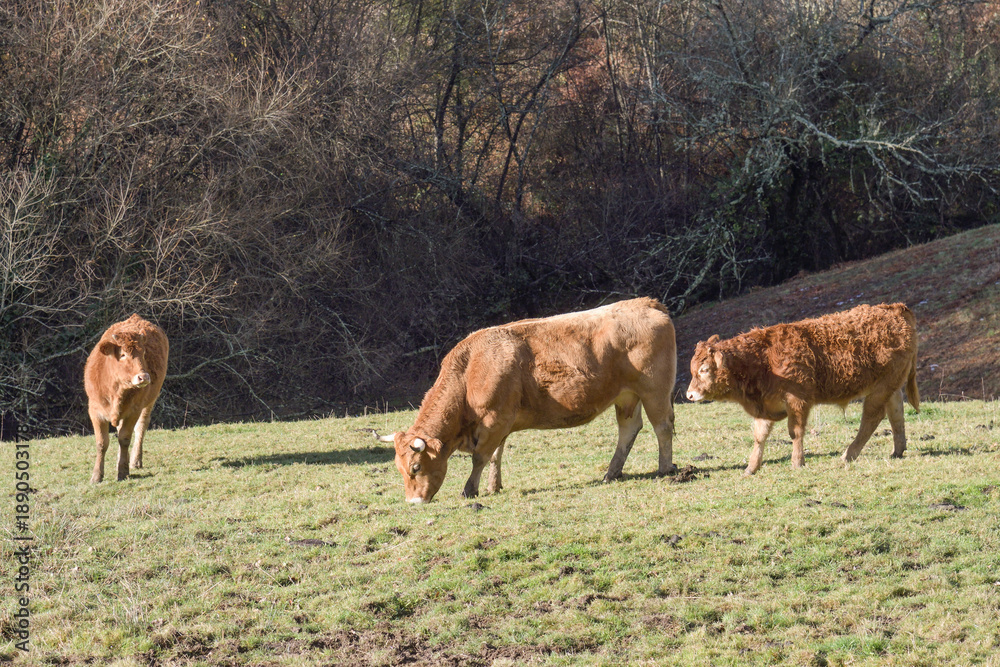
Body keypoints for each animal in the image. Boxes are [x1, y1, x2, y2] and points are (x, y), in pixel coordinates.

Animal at [84, 314, 169, 482]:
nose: (144, 377)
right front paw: (97, 475)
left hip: (150, 401)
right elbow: (102, 443)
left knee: (141, 426)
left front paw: (123, 471)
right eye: (123, 354)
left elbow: (125, 438)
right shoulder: (95, 411)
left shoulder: (134, 411)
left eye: (143, 354)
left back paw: (135, 460)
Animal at [379, 298, 677, 503]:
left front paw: (470, 490)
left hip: (654, 391)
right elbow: (495, 456)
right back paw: (611, 473)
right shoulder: (498, 424)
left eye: (416, 467)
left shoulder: (494, 420)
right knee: (628, 430)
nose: (414, 502)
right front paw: (494, 486)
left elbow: (480, 457)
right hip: (627, 396)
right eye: (399, 468)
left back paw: (664, 469)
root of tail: (647, 303)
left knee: (662, 427)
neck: (469, 369)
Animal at [685, 303, 919, 475]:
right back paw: (897, 450)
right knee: (896, 413)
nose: (689, 394)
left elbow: (795, 432)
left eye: (704, 369)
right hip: (891, 385)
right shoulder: (766, 406)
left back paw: (848, 454)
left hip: (881, 388)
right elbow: (760, 436)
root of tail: (895, 308)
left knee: (871, 418)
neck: (764, 359)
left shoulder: (798, 401)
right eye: (693, 369)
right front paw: (751, 468)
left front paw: (797, 462)